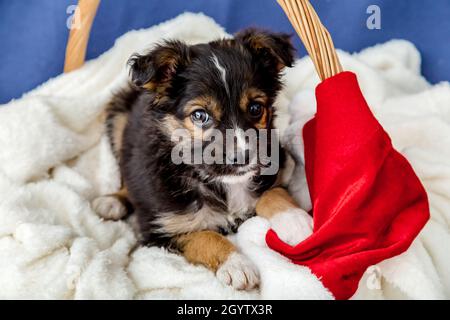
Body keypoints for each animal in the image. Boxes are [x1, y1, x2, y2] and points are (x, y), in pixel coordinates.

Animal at [92, 29, 296, 290]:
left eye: (255, 108)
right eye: (200, 115)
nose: (243, 157)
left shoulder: (279, 167)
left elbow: (273, 192)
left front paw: (296, 221)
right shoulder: (160, 231)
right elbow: (204, 236)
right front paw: (237, 265)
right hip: (118, 117)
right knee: (125, 172)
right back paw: (112, 201)